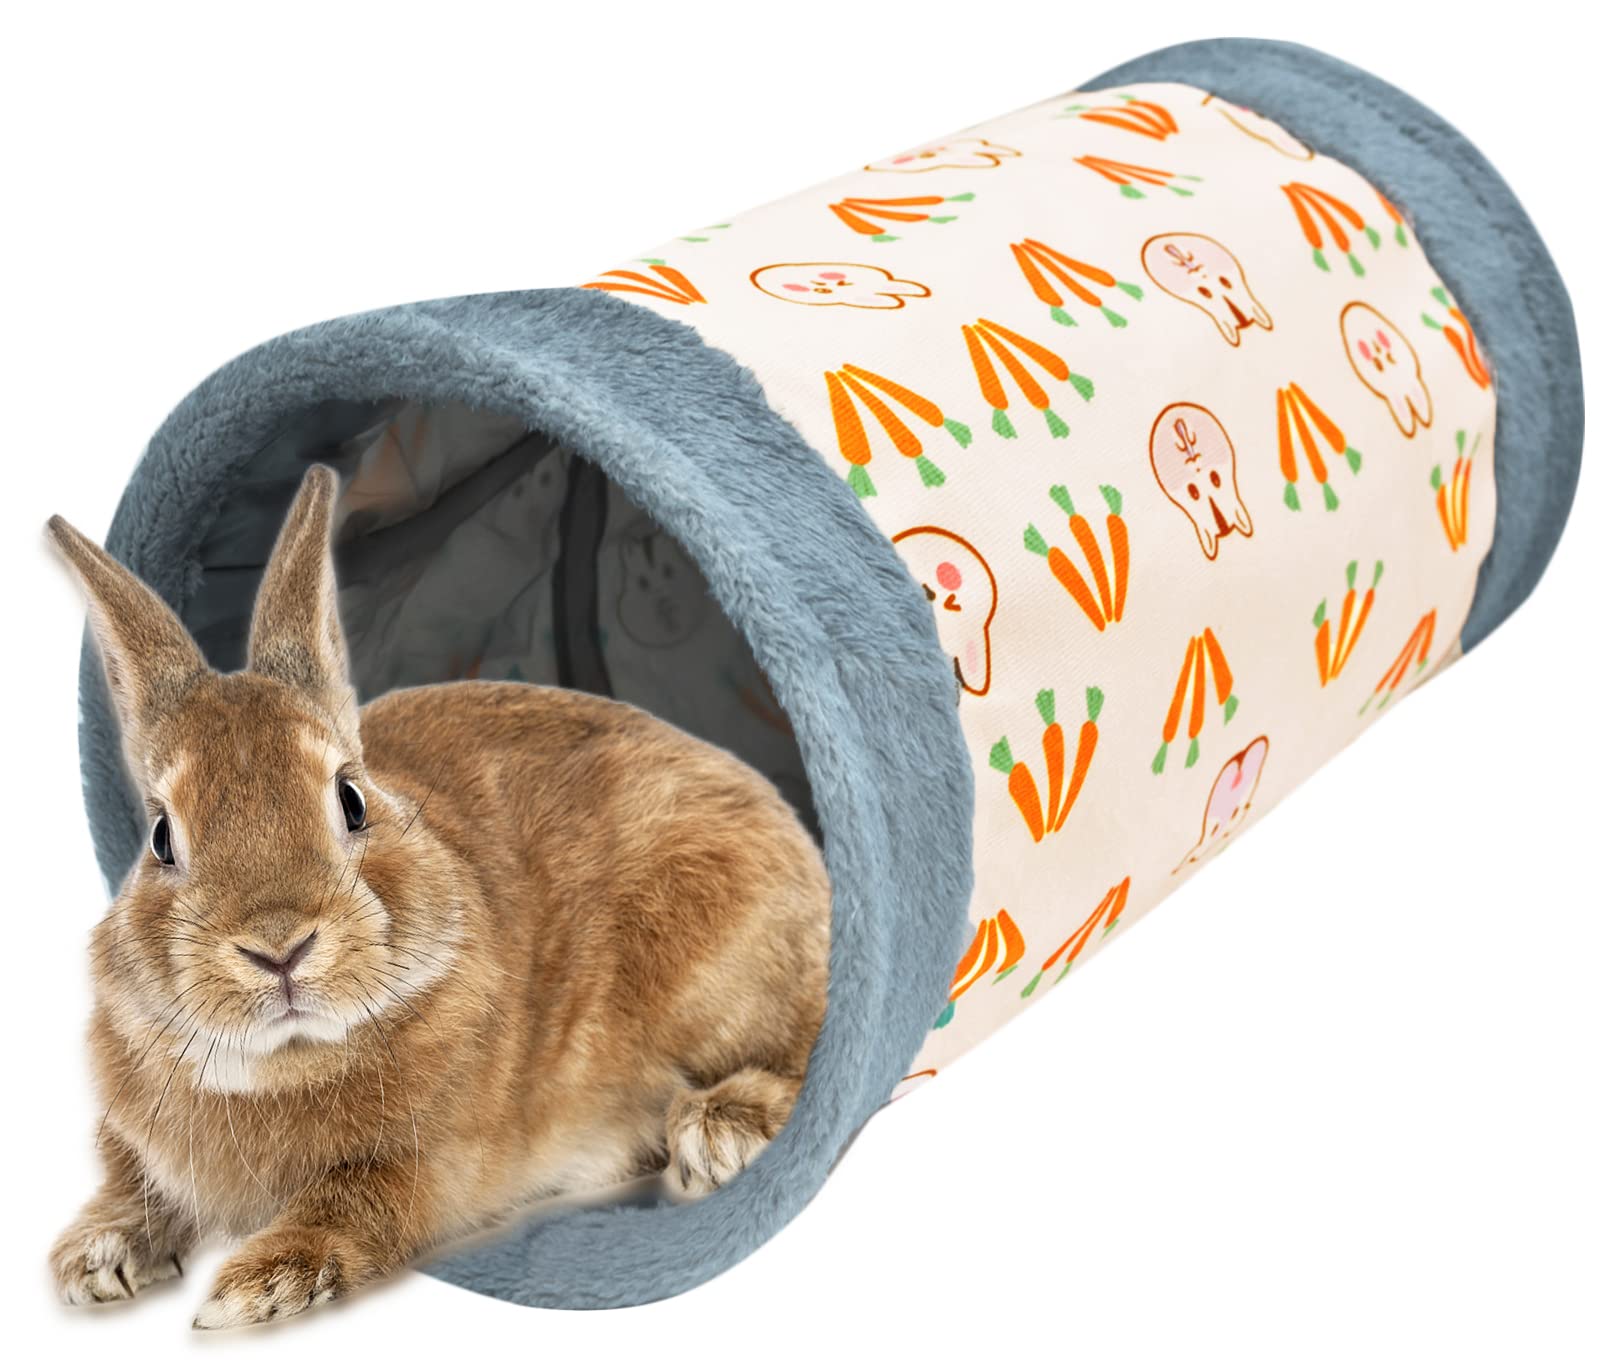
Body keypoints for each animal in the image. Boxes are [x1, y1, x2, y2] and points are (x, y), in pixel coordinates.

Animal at [45, 465, 830, 1329]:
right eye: (160, 837)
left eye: (351, 800)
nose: (280, 947)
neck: (286, 1060)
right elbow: (132, 1184)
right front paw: (93, 1259)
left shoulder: (433, 1164)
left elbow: (356, 1201)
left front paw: (257, 1287)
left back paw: (719, 1130)